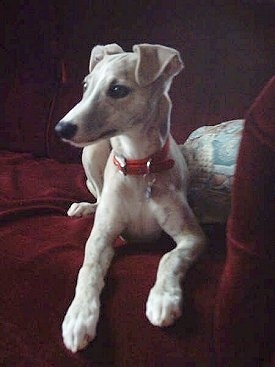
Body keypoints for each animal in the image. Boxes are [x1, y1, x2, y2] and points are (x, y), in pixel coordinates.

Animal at [55, 43, 207, 354]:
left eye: (117, 90)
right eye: (85, 86)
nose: (61, 129)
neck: (139, 165)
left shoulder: (193, 237)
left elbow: (169, 258)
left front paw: (163, 299)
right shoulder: (100, 238)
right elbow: (87, 270)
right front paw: (79, 317)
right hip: (91, 151)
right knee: (98, 193)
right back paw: (85, 207)